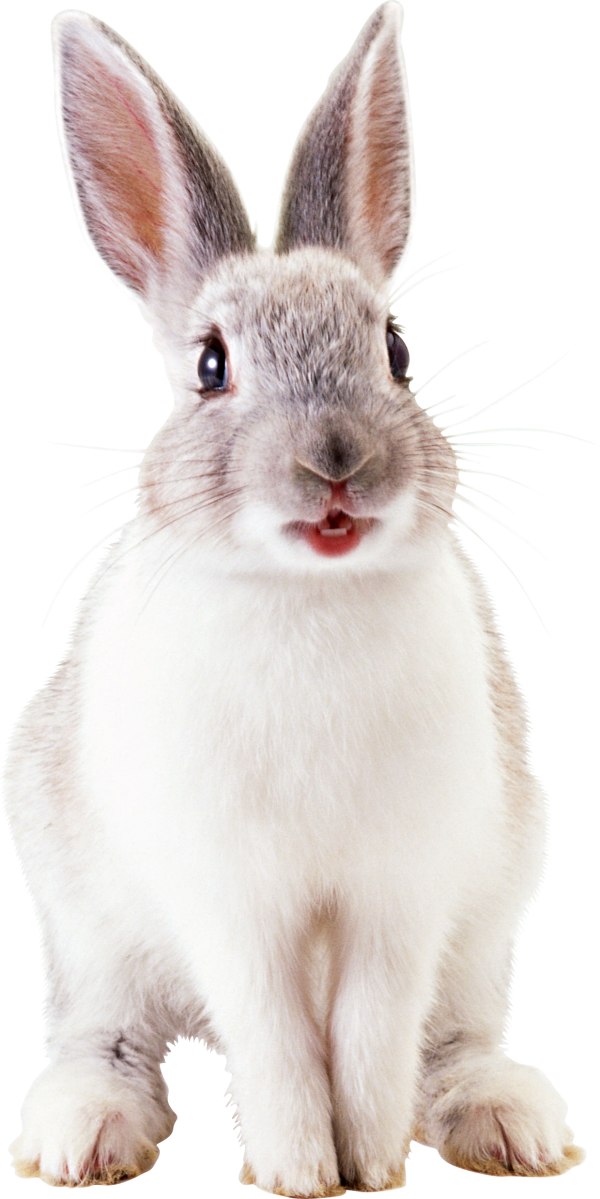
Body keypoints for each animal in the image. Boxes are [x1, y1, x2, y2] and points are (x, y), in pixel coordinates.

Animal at [1, 2, 586, 1194]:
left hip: (490, 919)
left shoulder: (398, 898)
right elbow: (277, 1043)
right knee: (105, 1037)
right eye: (209, 366)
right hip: (85, 928)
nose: (337, 463)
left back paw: (510, 1124)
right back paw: (83, 1134)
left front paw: (369, 1170)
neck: (310, 597)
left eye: (399, 350)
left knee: (453, 1041)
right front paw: (299, 1174)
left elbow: (368, 1043)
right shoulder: (235, 903)